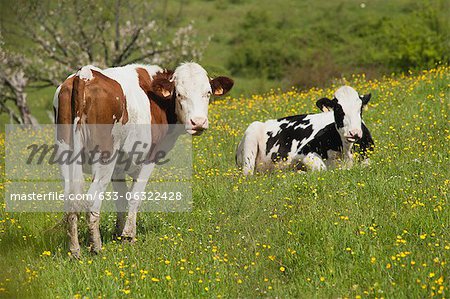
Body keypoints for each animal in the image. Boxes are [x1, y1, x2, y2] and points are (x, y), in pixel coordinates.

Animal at [54, 61, 234, 258]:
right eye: (179, 94)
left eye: (207, 93)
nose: (198, 122)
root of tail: (85, 74)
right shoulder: (148, 158)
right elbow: (134, 197)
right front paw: (128, 236)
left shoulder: (119, 166)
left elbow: (121, 198)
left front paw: (118, 233)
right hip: (104, 158)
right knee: (92, 200)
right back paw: (96, 247)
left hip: (66, 154)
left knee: (70, 200)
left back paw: (74, 250)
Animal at [236, 85, 372, 175]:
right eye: (338, 109)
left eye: (360, 109)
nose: (354, 133)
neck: (346, 150)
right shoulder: (302, 153)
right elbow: (321, 168)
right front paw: (298, 172)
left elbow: (366, 165)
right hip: (250, 143)